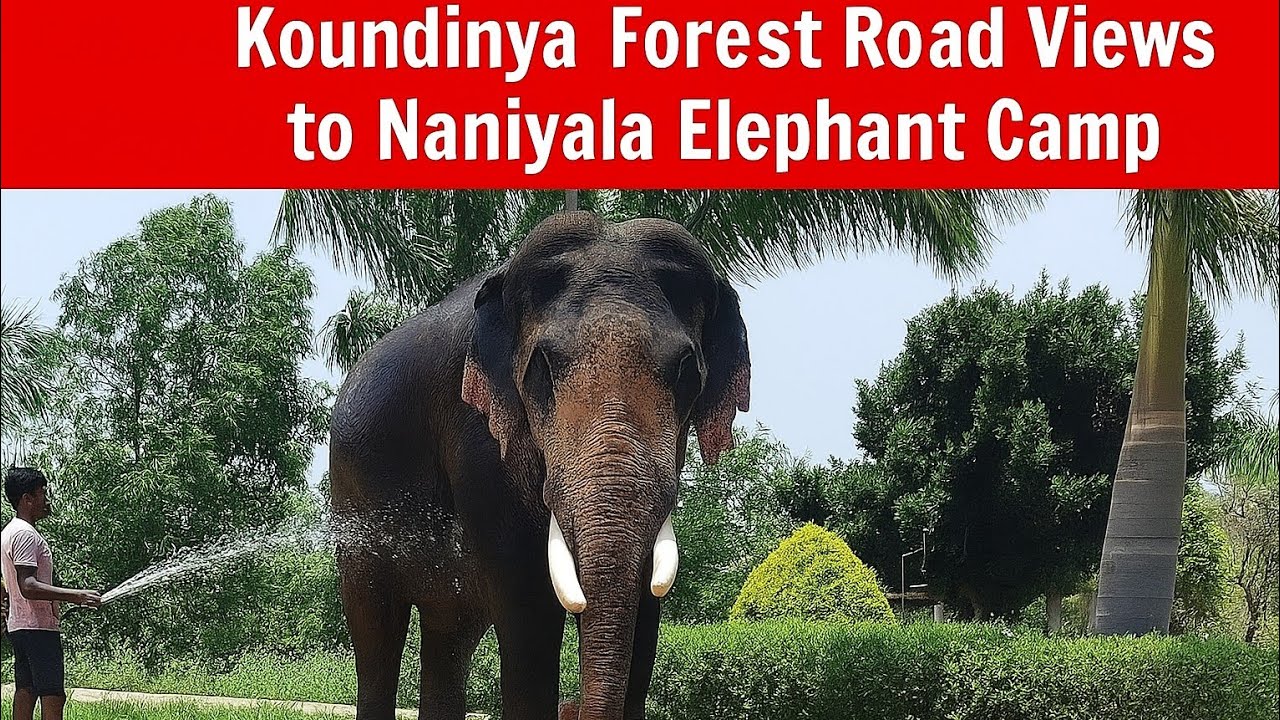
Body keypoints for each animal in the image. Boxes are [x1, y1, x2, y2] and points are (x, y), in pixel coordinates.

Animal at [327, 211, 751, 720]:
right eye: (542, 367)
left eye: (687, 369)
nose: (573, 705)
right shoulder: (477, 436)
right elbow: (527, 597)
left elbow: (648, 593)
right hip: (353, 503)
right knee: (375, 628)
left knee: (450, 634)